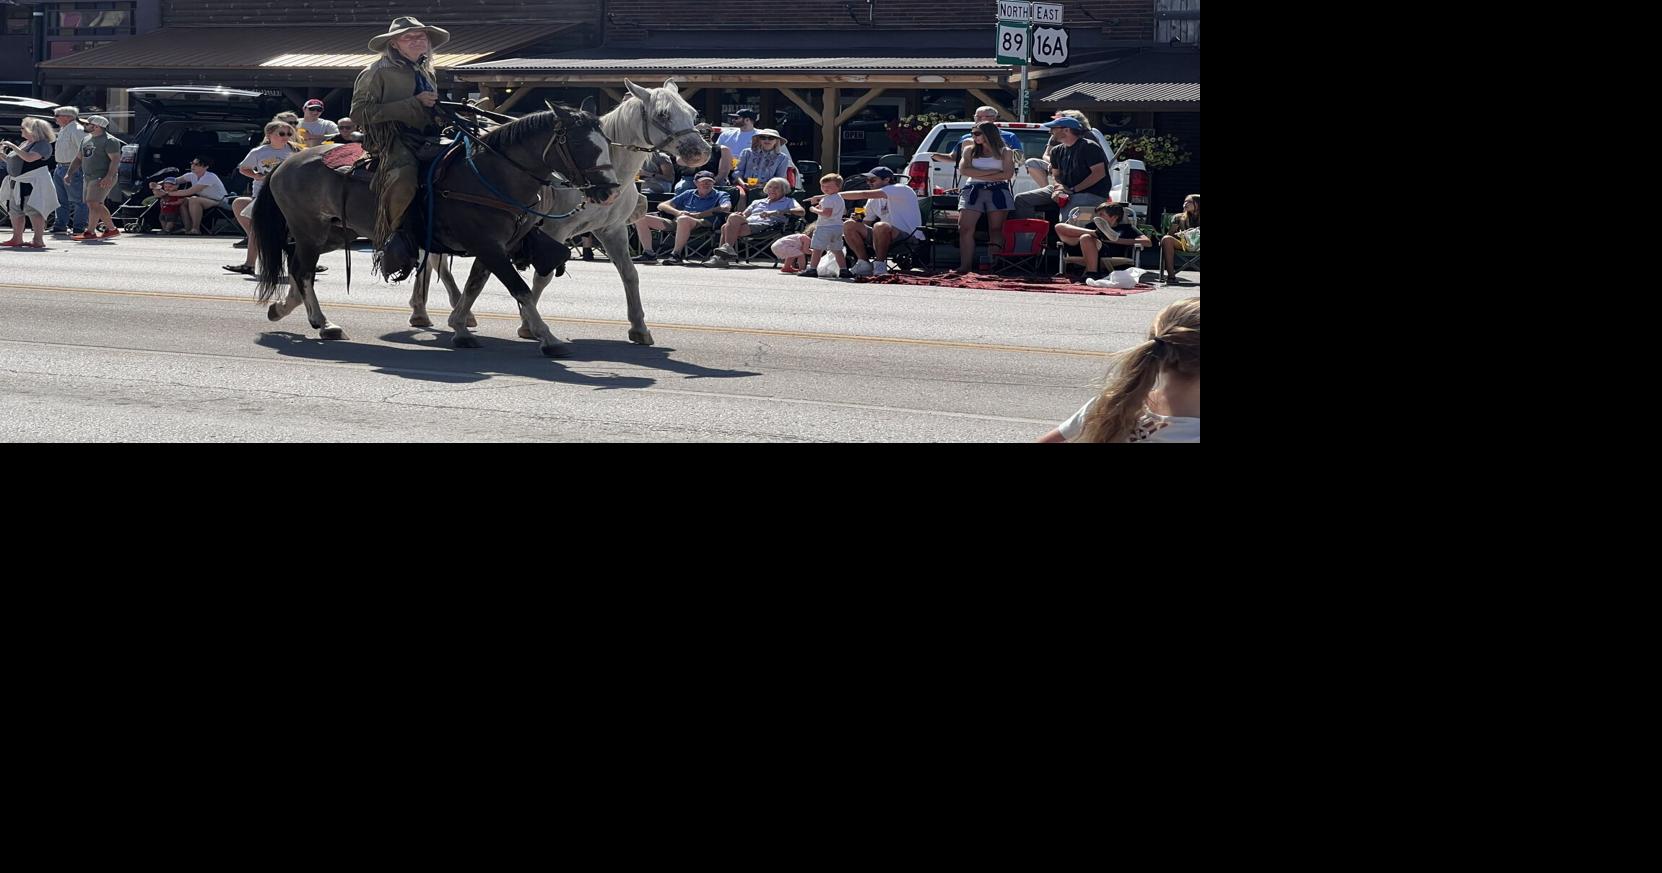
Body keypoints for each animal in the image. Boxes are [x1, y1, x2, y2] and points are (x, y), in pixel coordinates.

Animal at [255, 103, 621, 355]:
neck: (492, 175)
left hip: (334, 233)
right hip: (310, 231)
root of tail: (286, 163)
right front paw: (549, 338)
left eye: (606, 142)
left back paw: (283, 309)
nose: (611, 191)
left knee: (299, 268)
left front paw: (460, 328)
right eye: (580, 145)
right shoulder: (489, 246)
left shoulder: (493, 248)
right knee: (303, 271)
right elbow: (520, 290)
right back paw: (324, 323)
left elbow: (474, 287)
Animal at [412, 76, 711, 345]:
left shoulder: (612, 230)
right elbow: (540, 278)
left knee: (431, 260)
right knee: (433, 261)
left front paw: (639, 328)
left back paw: (425, 310)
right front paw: (528, 325)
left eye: (693, 113)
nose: (700, 151)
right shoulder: (555, 229)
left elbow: (629, 274)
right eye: (663, 114)